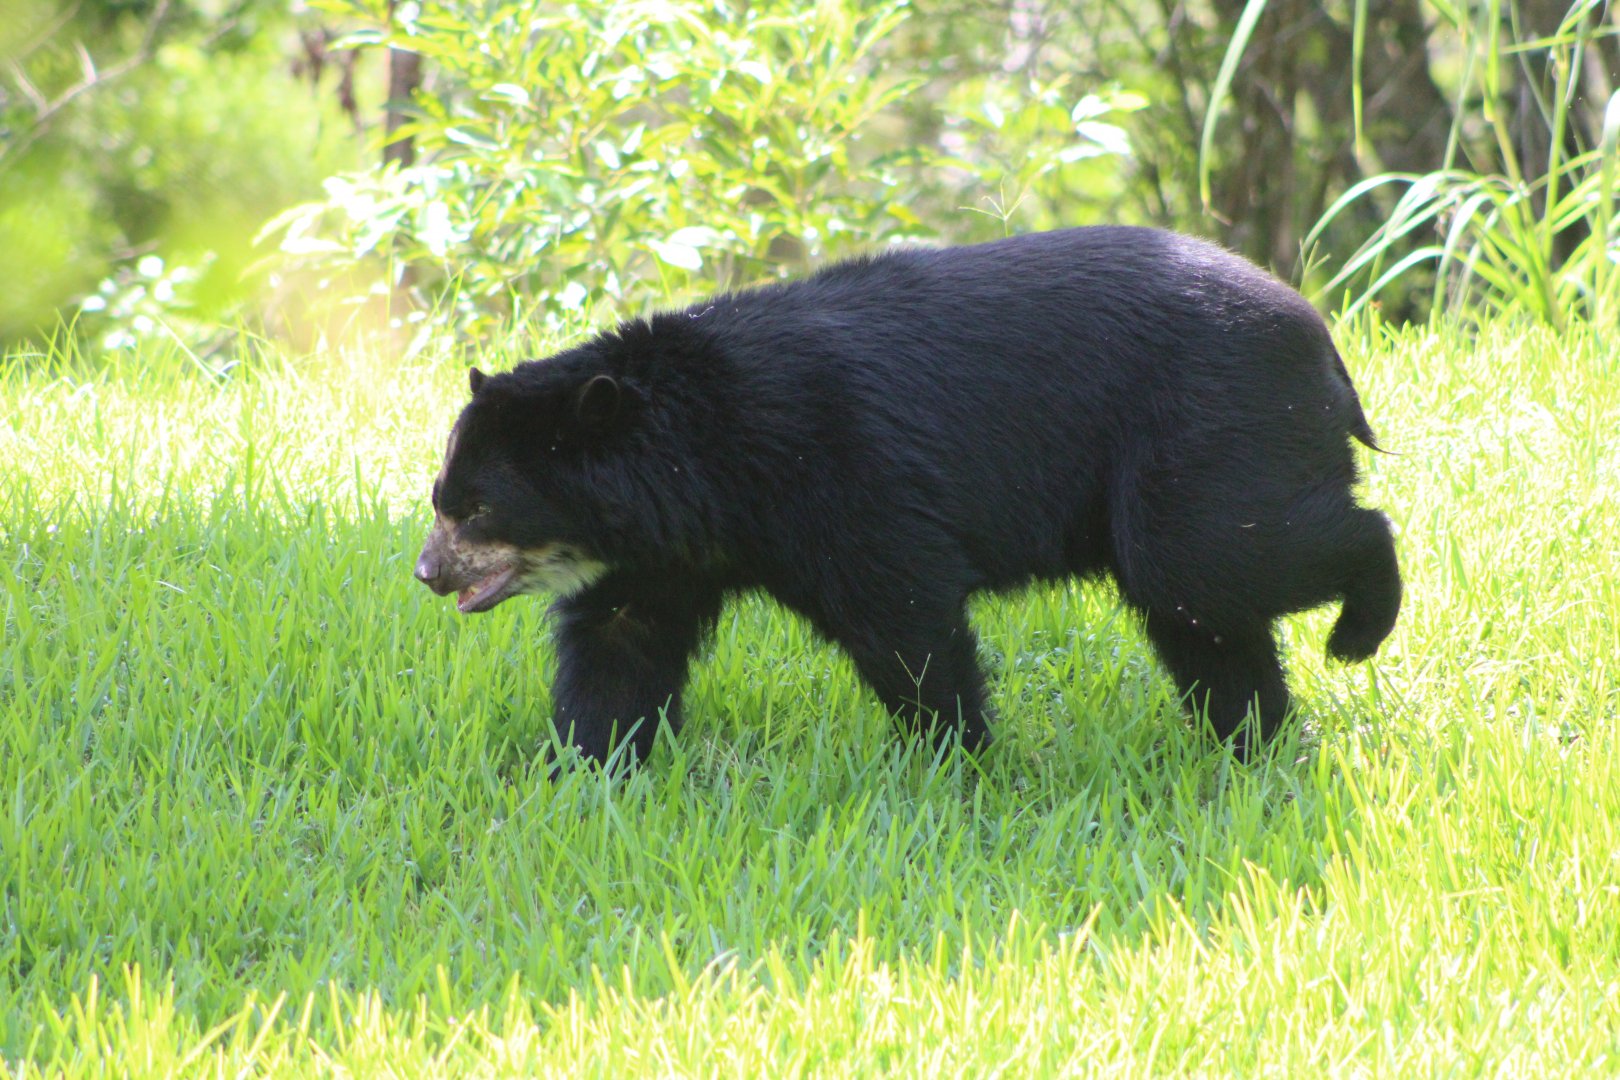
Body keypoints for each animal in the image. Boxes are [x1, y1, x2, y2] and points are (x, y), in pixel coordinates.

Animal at [414, 226, 1401, 765]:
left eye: (480, 509)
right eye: (441, 497)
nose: (426, 573)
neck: (705, 469)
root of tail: (1323, 341)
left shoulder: (836, 466)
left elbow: (903, 615)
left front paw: (956, 755)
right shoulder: (663, 552)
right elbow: (620, 648)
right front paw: (587, 769)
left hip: (1207, 430)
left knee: (1222, 559)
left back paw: (1359, 629)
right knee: (1207, 620)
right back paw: (1254, 739)